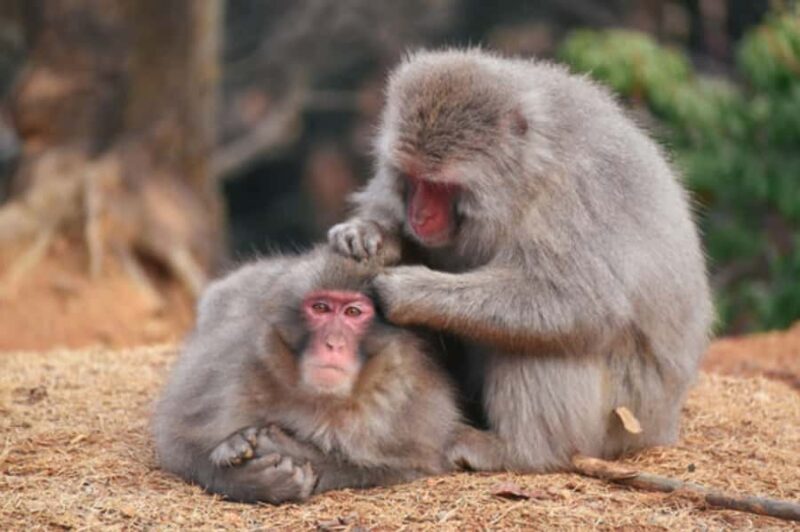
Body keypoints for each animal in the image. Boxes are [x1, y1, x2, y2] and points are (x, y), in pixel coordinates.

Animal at [152, 248, 463, 504]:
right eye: (320, 308)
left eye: (353, 312)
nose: (333, 343)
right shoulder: (235, 371)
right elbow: (176, 441)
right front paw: (250, 478)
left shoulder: (406, 402)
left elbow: (412, 465)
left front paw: (290, 450)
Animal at [328, 48, 714, 472]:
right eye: (412, 178)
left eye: (440, 186)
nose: (419, 216)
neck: (526, 176)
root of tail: (664, 427)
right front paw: (371, 233)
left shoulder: (576, 195)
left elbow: (581, 303)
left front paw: (405, 292)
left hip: (624, 416)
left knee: (538, 341)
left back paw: (520, 451)